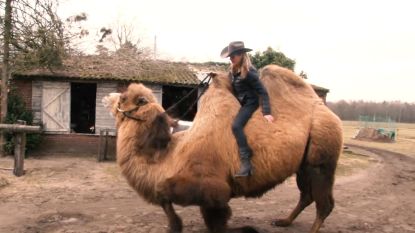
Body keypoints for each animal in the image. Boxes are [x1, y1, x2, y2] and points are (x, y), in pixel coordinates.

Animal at [104, 64, 344, 233]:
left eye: (124, 98)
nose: (108, 97)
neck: (168, 156)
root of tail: (325, 108)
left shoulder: (212, 187)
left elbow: (213, 219)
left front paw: (246, 229)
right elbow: (165, 198)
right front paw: (175, 225)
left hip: (322, 156)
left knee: (324, 201)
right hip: (303, 164)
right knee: (307, 195)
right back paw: (283, 221)